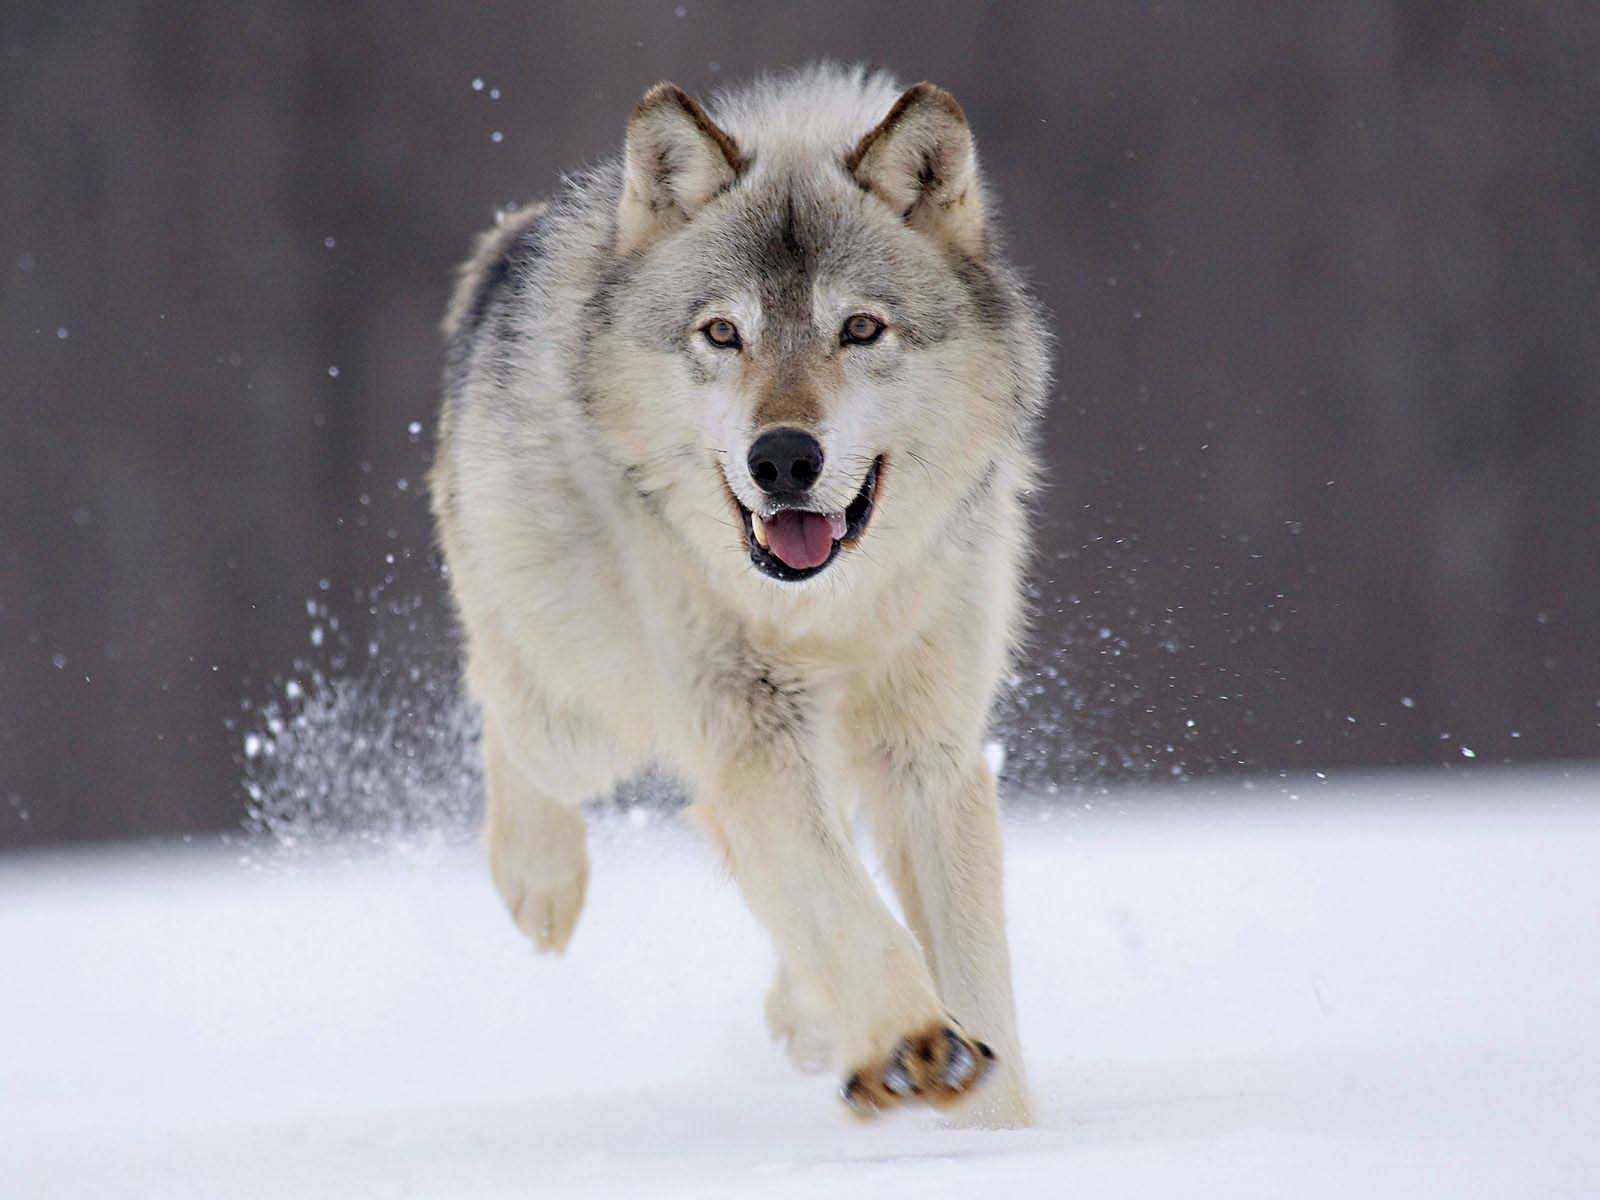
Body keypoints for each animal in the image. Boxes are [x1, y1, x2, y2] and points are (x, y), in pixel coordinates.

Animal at [425, 61, 1049, 1132]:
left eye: (860, 329)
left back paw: (810, 1020)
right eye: (723, 332)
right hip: (582, 712)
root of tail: (511, 241)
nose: (783, 458)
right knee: (507, 713)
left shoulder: (928, 752)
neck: (827, 613)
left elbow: (969, 968)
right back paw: (540, 882)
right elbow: (849, 909)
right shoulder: (749, 730)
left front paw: (996, 1128)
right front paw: (912, 1043)